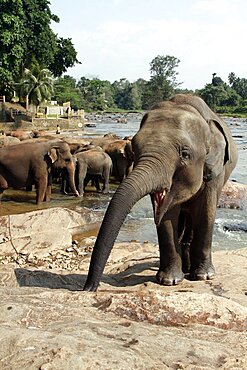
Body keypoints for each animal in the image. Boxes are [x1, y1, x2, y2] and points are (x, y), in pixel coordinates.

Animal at [84, 93, 238, 292]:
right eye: (135, 148)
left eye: (185, 154)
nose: (89, 288)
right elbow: (167, 215)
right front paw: (169, 280)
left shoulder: (215, 171)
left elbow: (205, 212)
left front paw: (203, 276)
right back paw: (184, 267)